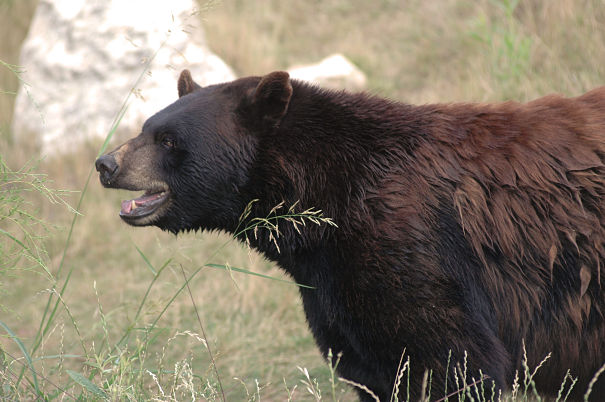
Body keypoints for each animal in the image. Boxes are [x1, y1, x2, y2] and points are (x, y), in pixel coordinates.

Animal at [96, 70, 604, 400]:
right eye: (147, 127)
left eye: (168, 140)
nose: (105, 163)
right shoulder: (335, 286)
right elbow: (371, 367)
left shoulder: (412, 251)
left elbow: (452, 364)